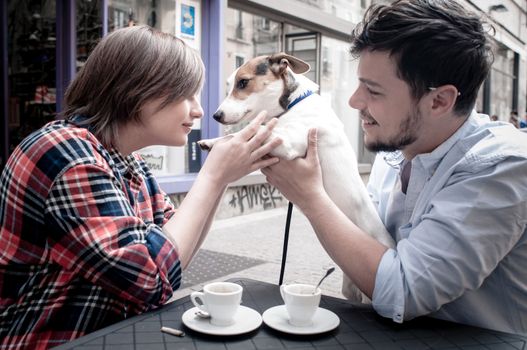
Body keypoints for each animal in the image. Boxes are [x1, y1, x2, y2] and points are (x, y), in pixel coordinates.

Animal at [199, 52, 396, 304]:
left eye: (243, 82)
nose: (216, 115)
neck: (292, 105)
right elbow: (241, 134)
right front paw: (211, 142)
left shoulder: (287, 142)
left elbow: (253, 132)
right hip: (350, 289)